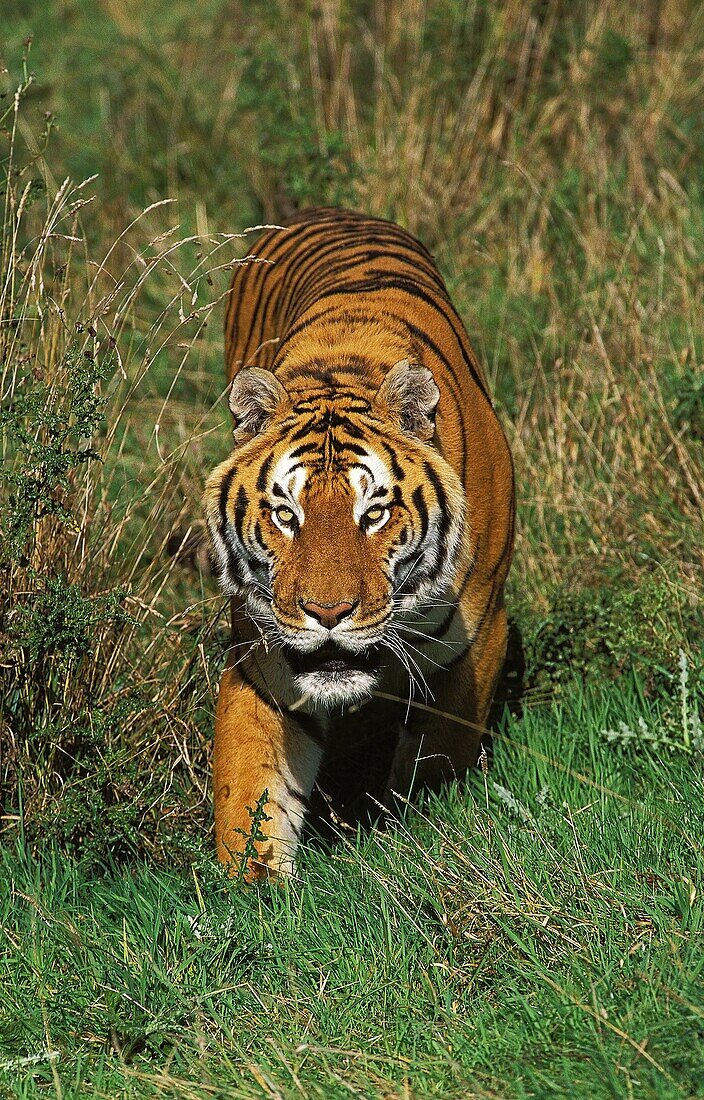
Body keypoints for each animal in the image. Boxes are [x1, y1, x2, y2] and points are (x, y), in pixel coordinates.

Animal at [200, 207, 514, 875]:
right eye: (284, 513)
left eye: (373, 512)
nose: (327, 614)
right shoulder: (262, 663)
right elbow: (249, 796)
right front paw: (252, 892)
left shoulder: (477, 639)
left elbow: (437, 759)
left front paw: (410, 826)